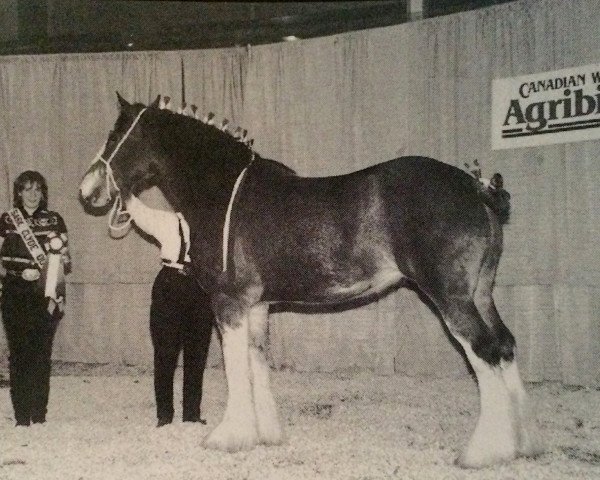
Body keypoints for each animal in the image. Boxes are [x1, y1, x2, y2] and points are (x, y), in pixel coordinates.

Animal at [78, 94, 544, 468]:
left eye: (115, 134)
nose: (87, 190)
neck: (223, 190)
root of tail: (477, 186)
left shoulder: (228, 302)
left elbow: (235, 365)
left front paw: (228, 437)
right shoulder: (257, 305)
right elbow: (257, 361)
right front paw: (266, 434)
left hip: (452, 297)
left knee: (483, 351)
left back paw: (482, 452)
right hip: (481, 293)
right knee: (504, 345)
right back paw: (524, 444)